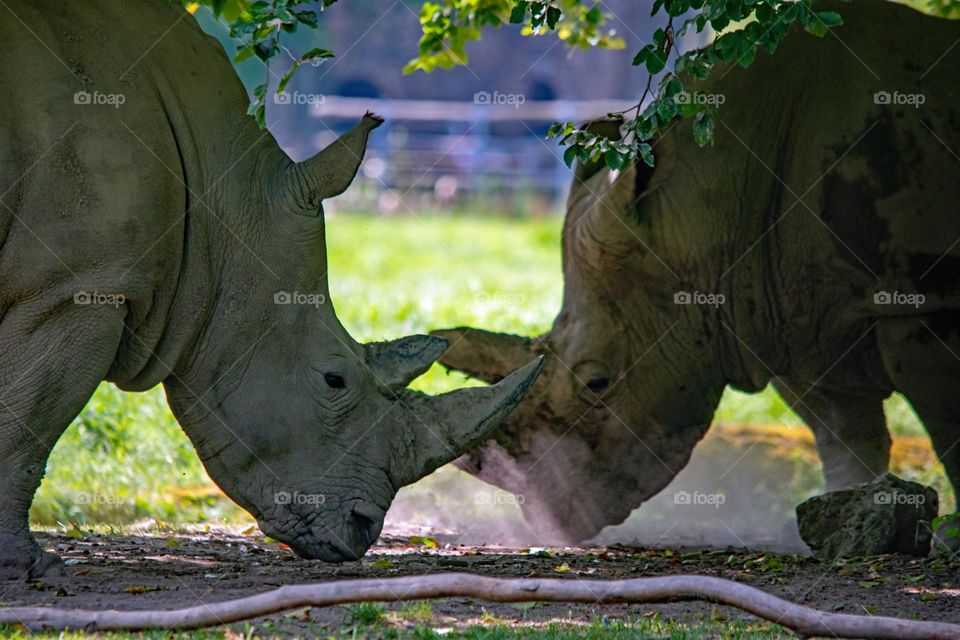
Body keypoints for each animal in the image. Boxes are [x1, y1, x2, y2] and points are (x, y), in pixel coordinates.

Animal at [0, 0, 542, 579]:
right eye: (334, 380)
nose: (362, 530)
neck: (218, 197)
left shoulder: (74, 280)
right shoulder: (78, 286)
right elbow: (26, 424)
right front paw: (26, 567)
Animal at [434, 0, 960, 544]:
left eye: (598, 384)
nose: (550, 521)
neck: (704, 215)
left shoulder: (922, 298)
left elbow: (949, 433)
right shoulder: (791, 317)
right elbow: (844, 438)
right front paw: (848, 516)